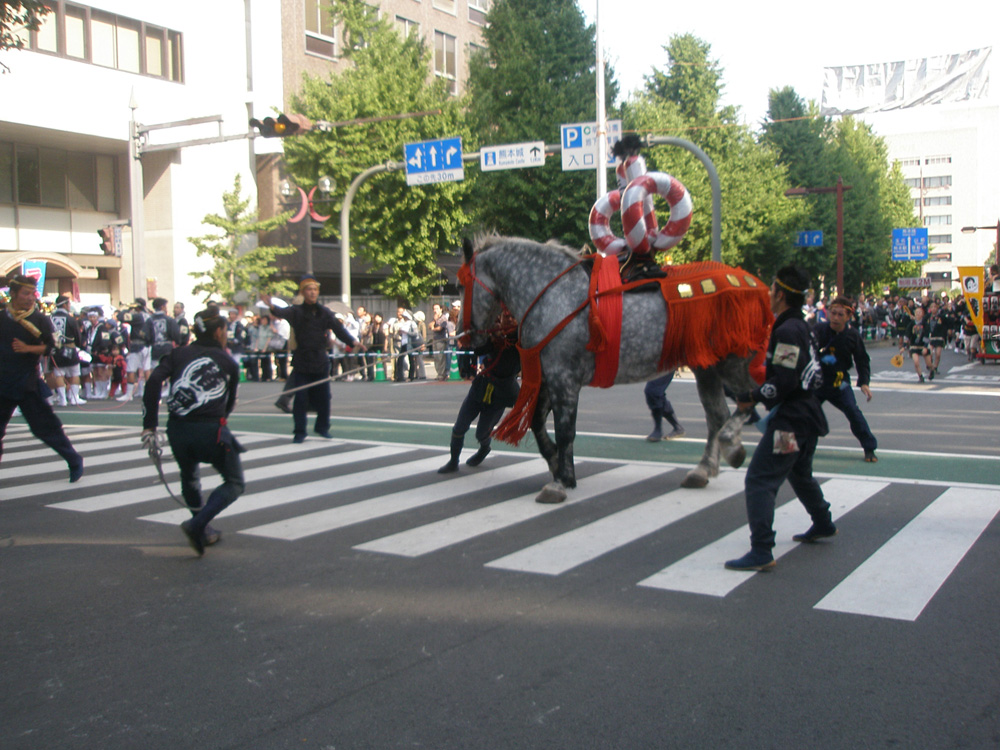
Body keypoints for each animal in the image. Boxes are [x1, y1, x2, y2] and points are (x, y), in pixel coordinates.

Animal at [460, 235, 764, 506]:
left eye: (462, 283)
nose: (468, 341)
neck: (552, 295)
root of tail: (754, 284)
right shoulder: (549, 378)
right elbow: (537, 423)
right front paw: (559, 465)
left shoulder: (564, 380)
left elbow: (565, 431)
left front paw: (559, 481)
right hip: (707, 367)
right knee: (717, 415)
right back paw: (703, 470)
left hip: (734, 362)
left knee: (750, 399)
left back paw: (733, 447)